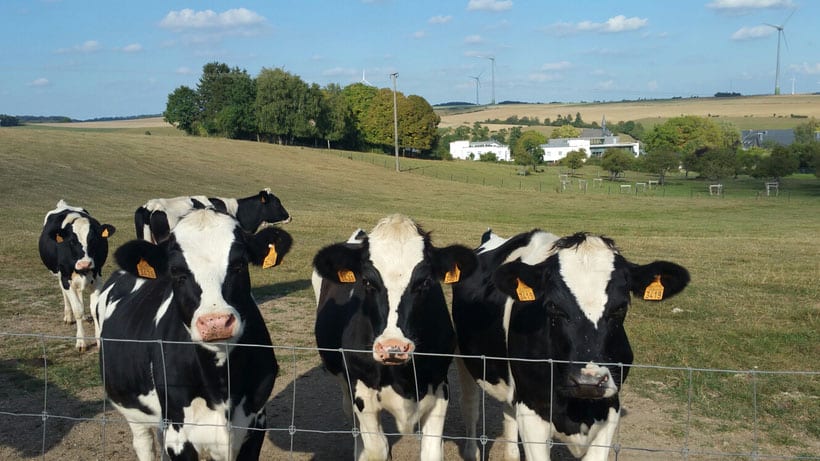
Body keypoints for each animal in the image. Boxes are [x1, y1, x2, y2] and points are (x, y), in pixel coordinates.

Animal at [38, 199, 116, 350]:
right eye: (72, 241)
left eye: (93, 240)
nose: (85, 264)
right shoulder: (65, 277)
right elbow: (77, 309)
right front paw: (81, 341)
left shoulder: (97, 276)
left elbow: (94, 309)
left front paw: (99, 340)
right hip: (60, 276)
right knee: (66, 294)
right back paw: (68, 316)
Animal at [97, 208, 294, 460]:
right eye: (176, 272)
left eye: (239, 264)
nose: (216, 322)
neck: (221, 387)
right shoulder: (178, 435)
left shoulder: (256, 423)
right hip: (133, 411)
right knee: (144, 443)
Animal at [312, 216, 480, 460]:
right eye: (367, 282)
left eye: (424, 282)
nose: (393, 347)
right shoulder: (362, 392)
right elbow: (377, 448)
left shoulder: (439, 385)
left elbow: (431, 450)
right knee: (352, 417)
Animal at [452, 230, 688, 460]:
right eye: (553, 306)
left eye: (621, 307)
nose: (588, 382)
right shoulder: (532, 411)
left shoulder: (610, 408)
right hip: (466, 359)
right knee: (470, 405)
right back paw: (472, 451)